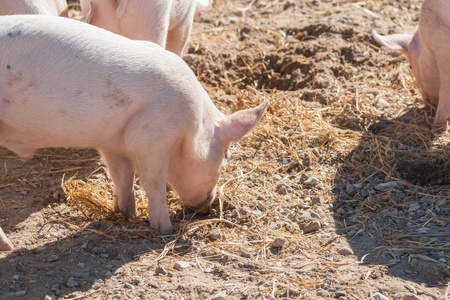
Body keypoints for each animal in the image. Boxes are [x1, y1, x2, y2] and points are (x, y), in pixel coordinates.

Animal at [0, 14, 268, 251]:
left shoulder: (113, 141)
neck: (193, 129)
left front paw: (126, 214)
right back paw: (9, 247)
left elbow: (122, 175)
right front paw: (165, 230)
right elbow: (154, 183)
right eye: (226, 157)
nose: (207, 206)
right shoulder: (151, 137)